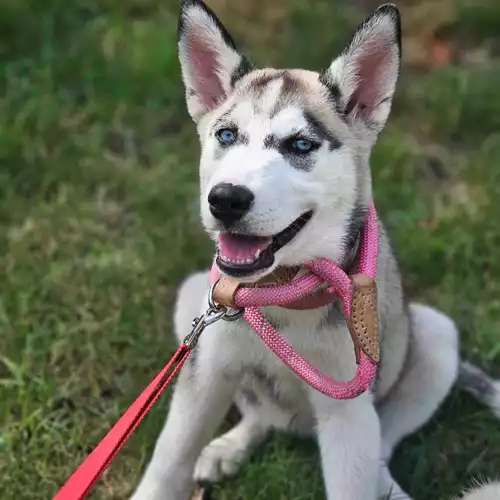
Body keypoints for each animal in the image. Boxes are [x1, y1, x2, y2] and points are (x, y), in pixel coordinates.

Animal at [130, 1, 500, 498]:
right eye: (226, 136)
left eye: (301, 144)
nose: (225, 199)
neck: (282, 292)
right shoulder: (203, 373)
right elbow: (168, 461)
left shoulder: (348, 410)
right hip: (193, 301)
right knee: (260, 414)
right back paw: (229, 446)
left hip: (434, 338)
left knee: (382, 448)